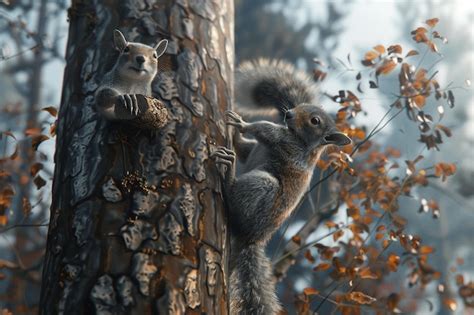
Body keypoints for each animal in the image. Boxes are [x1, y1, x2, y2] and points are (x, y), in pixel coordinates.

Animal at [213, 59, 350, 315]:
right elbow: (245, 148)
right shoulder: (260, 147)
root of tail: (252, 237)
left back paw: (228, 173)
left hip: (261, 187)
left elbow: (263, 129)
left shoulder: (284, 143)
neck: (302, 141)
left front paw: (241, 123)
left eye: (315, 121)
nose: (288, 113)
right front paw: (235, 132)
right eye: (302, 106)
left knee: (234, 202)